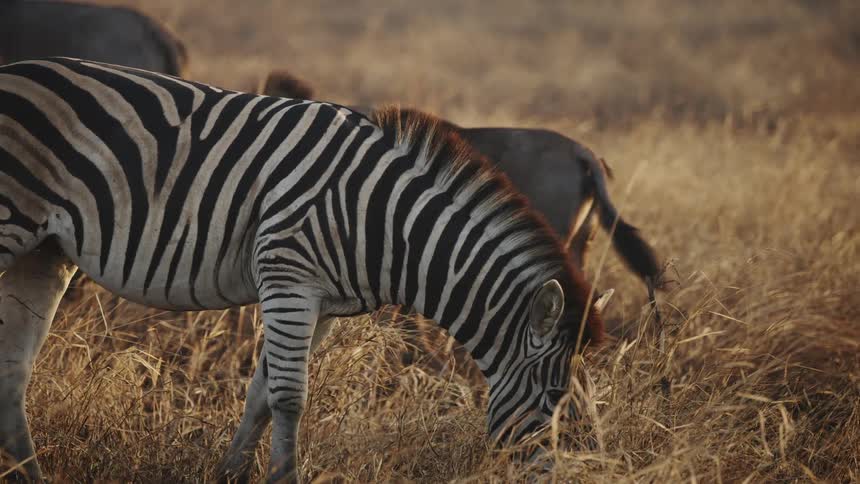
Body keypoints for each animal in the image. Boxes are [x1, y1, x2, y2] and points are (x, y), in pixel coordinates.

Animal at [0, 57, 605, 482]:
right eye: (557, 399)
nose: (580, 470)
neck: (384, 220)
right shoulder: (287, 279)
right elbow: (290, 398)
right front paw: (282, 478)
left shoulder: (319, 304)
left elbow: (261, 395)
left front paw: (229, 475)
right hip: (10, 225)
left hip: (43, 252)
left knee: (13, 368)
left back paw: (30, 476)